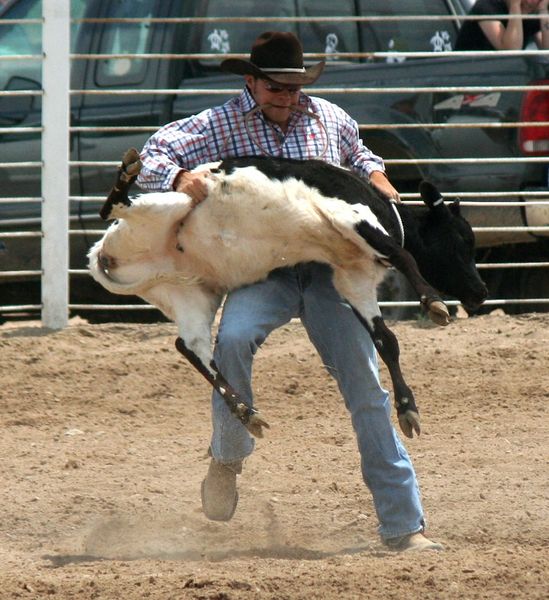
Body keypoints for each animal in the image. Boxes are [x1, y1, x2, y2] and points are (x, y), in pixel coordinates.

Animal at [88, 150, 486, 440]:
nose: (480, 293)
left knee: (190, 347)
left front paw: (407, 409)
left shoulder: (354, 278)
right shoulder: (350, 214)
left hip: (189, 294)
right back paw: (126, 174)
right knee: (112, 207)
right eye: (462, 239)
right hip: (167, 206)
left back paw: (246, 411)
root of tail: (101, 253)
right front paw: (433, 302)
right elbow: (403, 255)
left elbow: (386, 341)